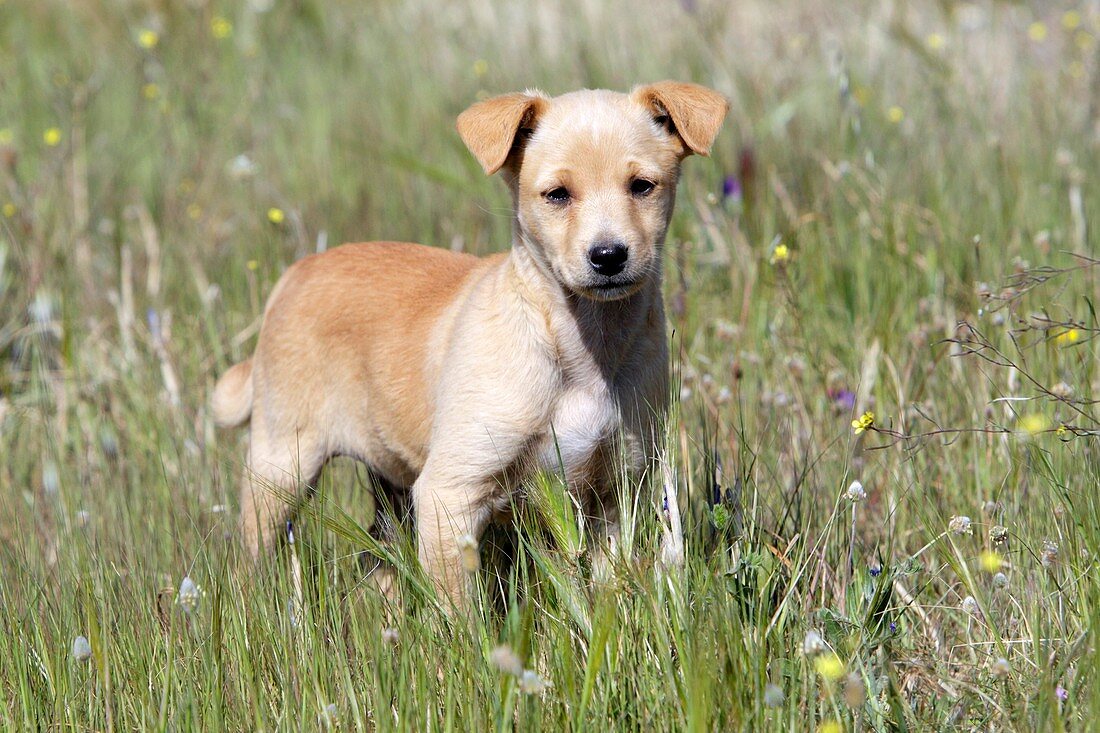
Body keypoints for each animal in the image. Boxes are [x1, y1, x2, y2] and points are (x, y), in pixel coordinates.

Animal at [212, 81, 730, 603]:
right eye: (557, 195)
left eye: (642, 186)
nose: (608, 256)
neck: (580, 348)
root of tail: (294, 273)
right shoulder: (450, 492)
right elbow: (460, 610)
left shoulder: (618, 491)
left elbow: (608, 590)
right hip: (281, 465)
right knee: (248, 561)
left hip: (390, 483)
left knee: (379, 562)